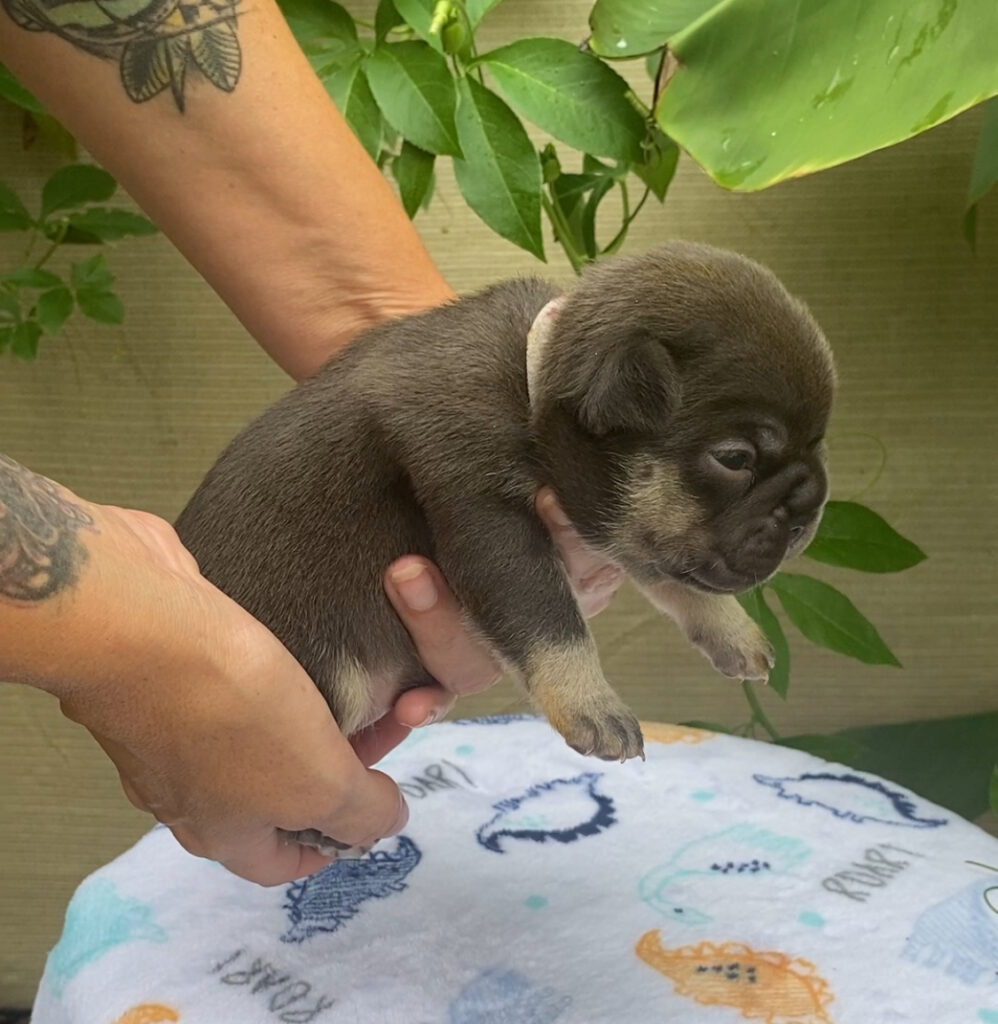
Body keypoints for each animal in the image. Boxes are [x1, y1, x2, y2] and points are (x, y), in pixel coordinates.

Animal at [174, 243, 835, 843]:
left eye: (818, 443)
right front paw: (591, 705)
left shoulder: (611, 525)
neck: (532, 393)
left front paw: (731, 629)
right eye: (736, 458)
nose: (811, 501)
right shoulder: (489, 519)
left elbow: (671, 573)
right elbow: (550, 620)